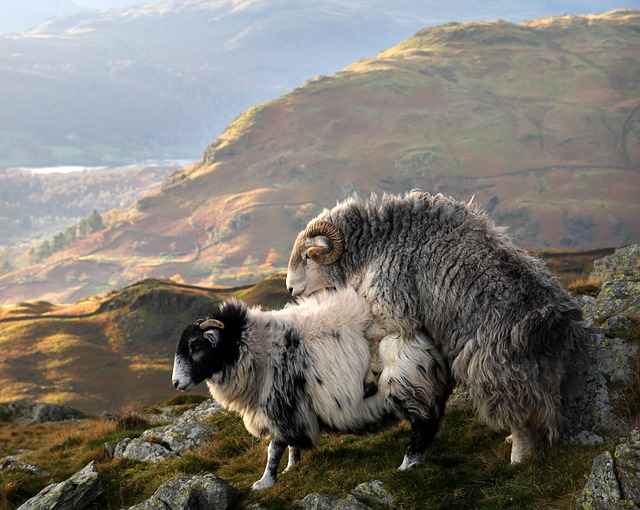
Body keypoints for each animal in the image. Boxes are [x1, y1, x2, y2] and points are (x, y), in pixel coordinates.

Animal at [170, 286, 442, 490]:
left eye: (196, 346)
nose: (176, 383)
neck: (254, 347)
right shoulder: (295, 406)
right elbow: (291, 444)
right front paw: (292, 467)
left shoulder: (278, 404)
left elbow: (274, 448)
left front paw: (264, 482)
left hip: (407, 380)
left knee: (422, 424)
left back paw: (409, 464)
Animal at [288, 190, 588, 462]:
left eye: (307, 256)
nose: (290, 288)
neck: (376, 243)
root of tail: (554, 324)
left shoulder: (393, 307)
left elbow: (375, 335)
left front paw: (371, 375)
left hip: (495, 369)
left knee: (520, 415)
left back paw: (519, 457)